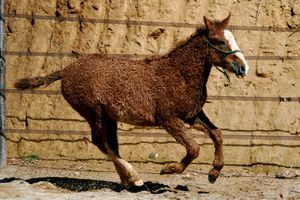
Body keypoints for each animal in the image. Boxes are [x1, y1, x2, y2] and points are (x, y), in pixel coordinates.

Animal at [14, 15, 248, 186]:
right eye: (220, 41)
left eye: (233, 39)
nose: (243, 67)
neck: (179, 74)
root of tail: (65, 71)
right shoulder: (169, 119)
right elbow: (193, 148)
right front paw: (169, 169)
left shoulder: (192, 115)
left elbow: (217, 134)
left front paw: (214, 173)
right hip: (94, 113)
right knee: (100, 141)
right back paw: (134, 177)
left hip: (108, 117)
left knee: (109, 143)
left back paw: (127, 180)